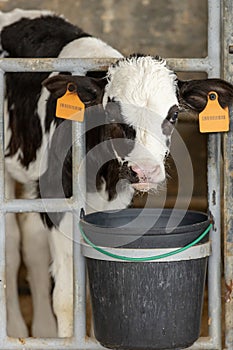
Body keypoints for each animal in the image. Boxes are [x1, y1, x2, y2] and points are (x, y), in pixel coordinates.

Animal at [0, 8, 232, 340]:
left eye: (174, 114)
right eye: (112, 113)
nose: (145, 170)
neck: (104, 176)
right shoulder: (60, 198)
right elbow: (67, 298)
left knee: (32, 240)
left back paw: (40, 328)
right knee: (10, 243)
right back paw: (18, 328)